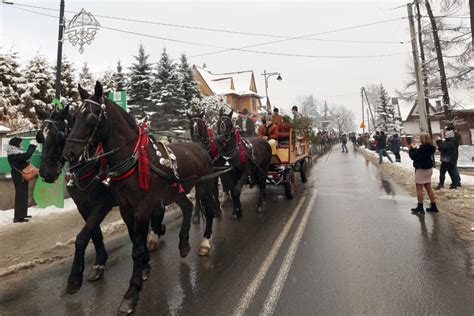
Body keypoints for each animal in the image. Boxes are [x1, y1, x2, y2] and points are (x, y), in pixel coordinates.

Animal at [34, 102, 167, 296]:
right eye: (40, 137)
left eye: (60, 136)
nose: (46, 173)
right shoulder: (83, 206)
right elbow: (94, 233)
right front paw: (99, 263)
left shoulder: (102, 205)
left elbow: (82, 237)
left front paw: (75, 276)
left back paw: (155, 235)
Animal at [62, 81, 219, 314]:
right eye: (73, 117)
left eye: (90, 117)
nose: (69, 153)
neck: (133, 160)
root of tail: (199, 146)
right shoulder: (126, 209)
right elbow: (135, 240)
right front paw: (144, 266)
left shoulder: (143, 208)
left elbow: (136, 248)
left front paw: (131, 293)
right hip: (176, 191)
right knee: (188, 207)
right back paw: (183, 243)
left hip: (205, 186)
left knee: (208, 210)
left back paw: (205, 243)